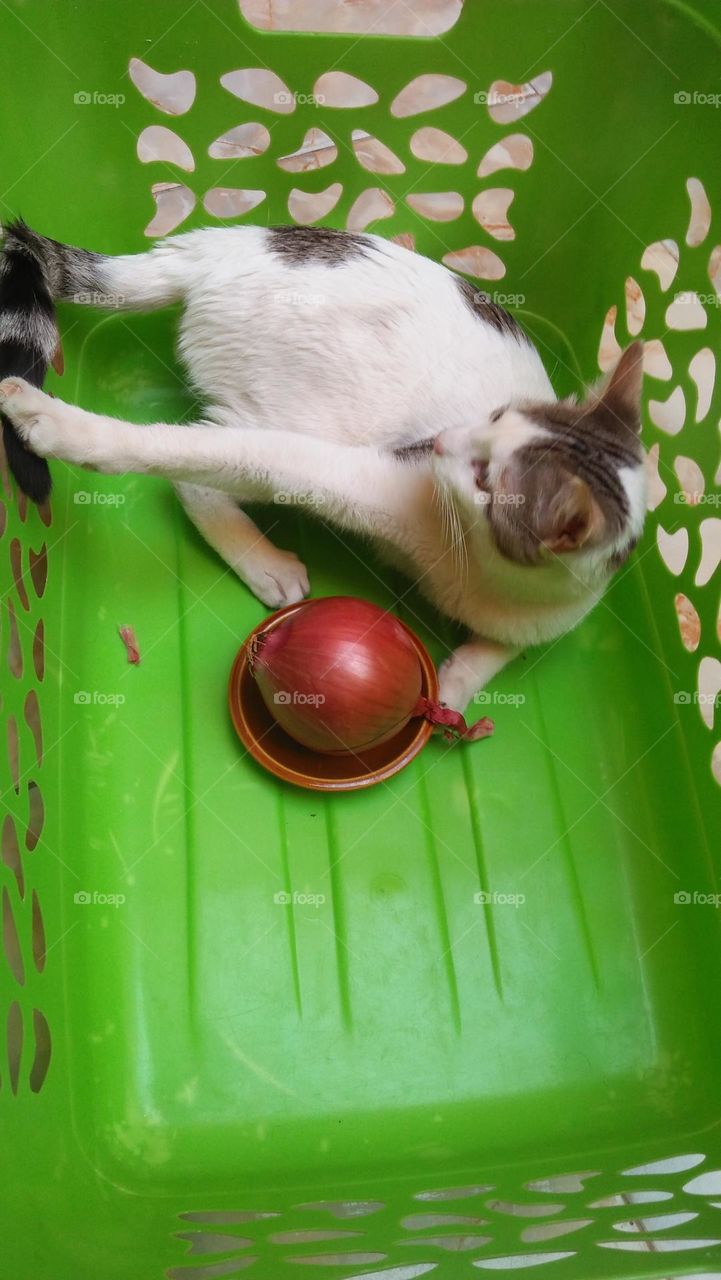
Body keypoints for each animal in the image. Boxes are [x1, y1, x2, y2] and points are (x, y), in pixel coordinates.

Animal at [0, 224, 648, 716]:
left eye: (486, 477)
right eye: (492, 416)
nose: (441, 440)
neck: (480, 570)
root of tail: (222, 242)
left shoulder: (552, 616)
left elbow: (501, 647)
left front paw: (456, 686)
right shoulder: (349, 472)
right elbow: (168, 451)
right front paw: (50, 421)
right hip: (298, 414)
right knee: (195, 476)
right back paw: (264, 562)